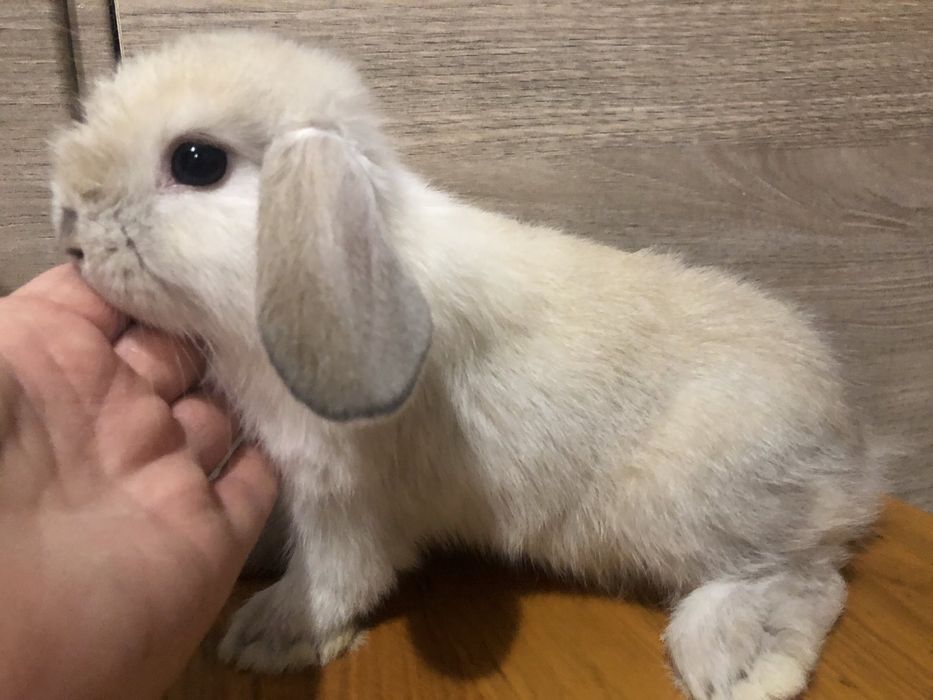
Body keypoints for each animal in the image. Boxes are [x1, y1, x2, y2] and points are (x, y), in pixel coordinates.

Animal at [50, 31, 886, 700]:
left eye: (197, 161)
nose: (72, 233)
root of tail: (851, 451)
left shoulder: (343, 495)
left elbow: (337, 575)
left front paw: (268, 635)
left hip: (694, 505)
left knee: (805, 576)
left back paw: (735, 665)